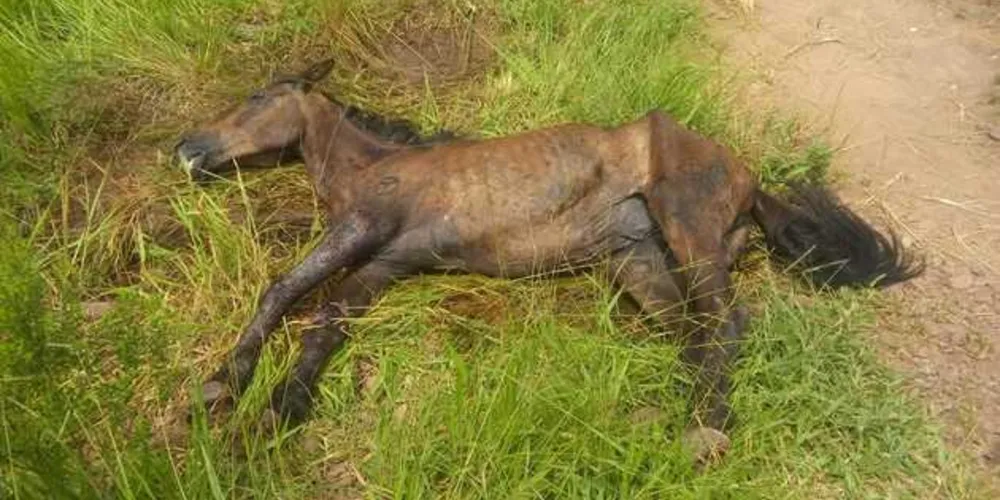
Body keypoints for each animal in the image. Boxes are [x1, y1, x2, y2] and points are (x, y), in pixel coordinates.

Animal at [174, 59, 923, 465]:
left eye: (258, 98)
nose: (186, 148)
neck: (376, 164)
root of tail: (750, 178)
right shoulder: (384, 262)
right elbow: (327, 318)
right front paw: (280, 408)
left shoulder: (362, 230)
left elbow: (283, 290)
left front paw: (224, 387)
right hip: (637, 262)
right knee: (696, 331)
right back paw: (668, 417)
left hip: (686, 226)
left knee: (725, 323)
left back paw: (704, 431)